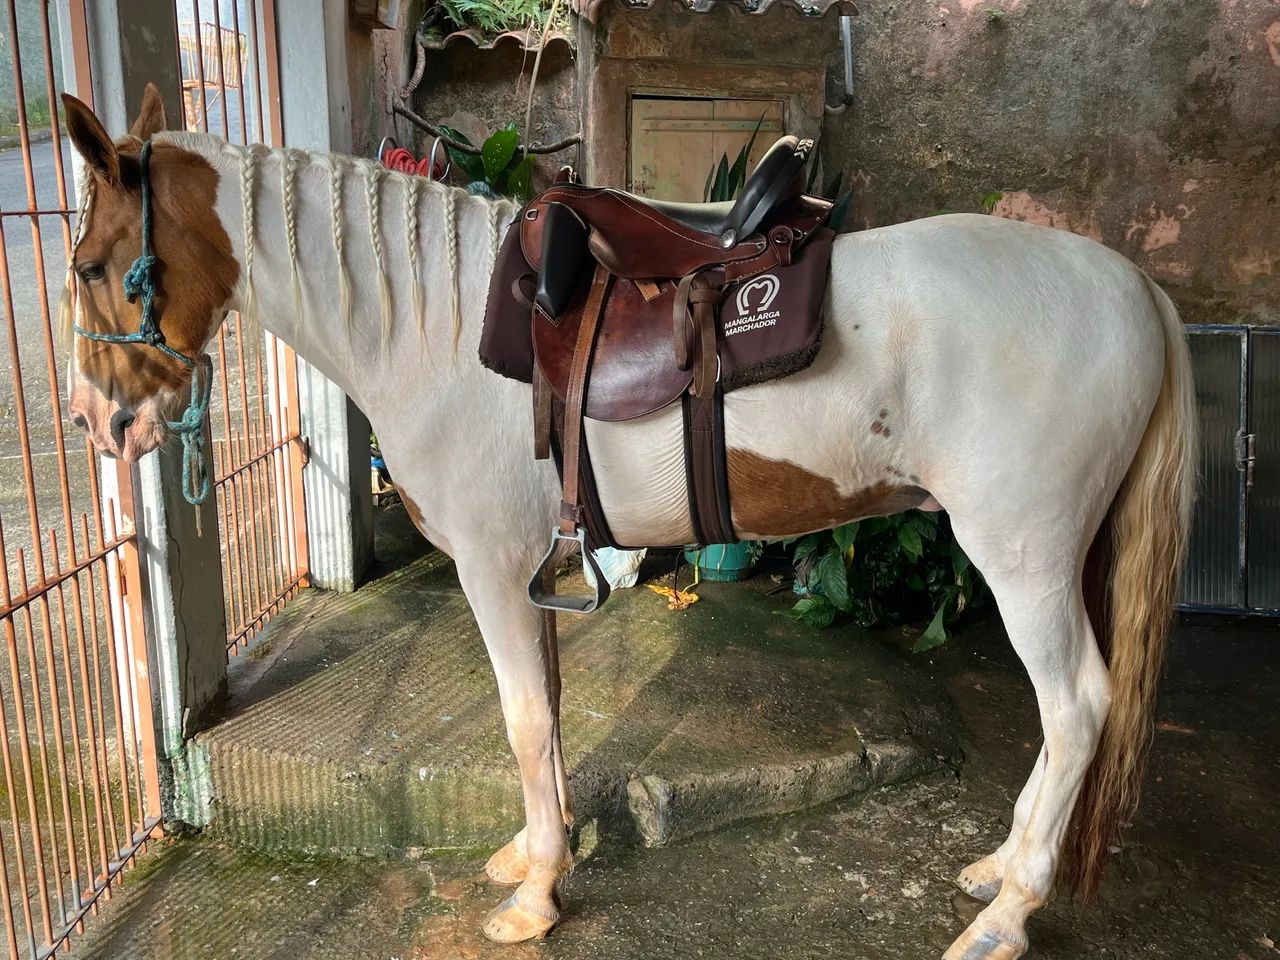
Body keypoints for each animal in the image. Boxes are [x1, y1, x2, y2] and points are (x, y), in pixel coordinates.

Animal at [59, 85, 1195, 960]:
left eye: (86, 265)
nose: (96, 423)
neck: (434, 329)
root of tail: (1133, 286)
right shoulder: (534, 568)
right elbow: (552, 713)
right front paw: (536, 854)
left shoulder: (491, 566)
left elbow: (521, 718)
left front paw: (533, 900)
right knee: (1066, 721)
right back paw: (998, 869)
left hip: (1022, 557)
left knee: (1076, 708)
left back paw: (1006, 916)